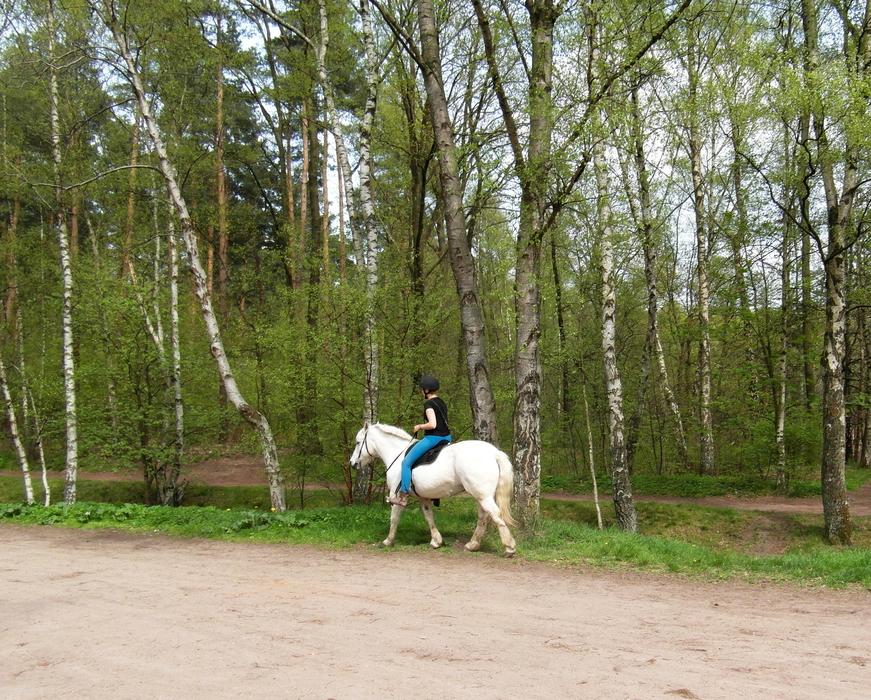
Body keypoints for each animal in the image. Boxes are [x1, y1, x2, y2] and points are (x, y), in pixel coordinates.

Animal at [350, 423, 517, 556]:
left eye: (358, 443)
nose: (352, 463)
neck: (397, 454)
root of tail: (494, 453)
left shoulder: (396, 495)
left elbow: (394, 518)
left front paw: (388, 541)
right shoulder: (423, 496)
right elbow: (428, 516)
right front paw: (436, 541)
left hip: (482, 496)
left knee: (494, 514)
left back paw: (509, 546)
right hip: (480, 496)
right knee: (483, 517)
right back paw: (473, 544)